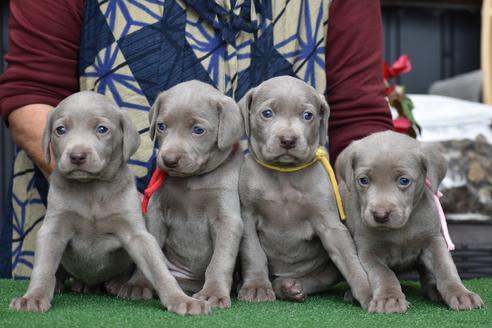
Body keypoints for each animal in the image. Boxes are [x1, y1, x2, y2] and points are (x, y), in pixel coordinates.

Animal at [9, 91, 209, 316]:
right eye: (60, 130)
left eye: (102, 129)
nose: (77, 156)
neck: (92, 190)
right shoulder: (53, 230)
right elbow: (43, 268)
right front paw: (33, 297)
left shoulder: (136, 234)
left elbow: (158, 269)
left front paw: (181, 299)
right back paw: (61, 283)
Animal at [117, 80, 244, 310]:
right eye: (161, 126)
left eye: (198, 130)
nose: (169, 160)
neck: (192, 180)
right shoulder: (156, 213)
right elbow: (150, 255)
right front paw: (138, 284)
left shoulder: (227, 218)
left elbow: (220, 260)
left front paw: (213, 293)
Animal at [236, 75, 370, 308]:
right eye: (267, 113)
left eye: (308, 115)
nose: (288, 140)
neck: (284, 175)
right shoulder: (248, 216)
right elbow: (254, 253)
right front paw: (256, 287)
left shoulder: (330, 225)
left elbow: (350, 260)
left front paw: (368, 292)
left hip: (325, 271)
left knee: (315, 280)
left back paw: (289, 287)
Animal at [336, 131, 482, 312]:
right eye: (363, 180)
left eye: (404, 181)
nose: (380, 215)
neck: (401, 229)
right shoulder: (368, 253)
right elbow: (384, 274)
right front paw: (389, 298)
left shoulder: (434, 240)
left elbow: (446, 268)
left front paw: (461, 294)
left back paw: (434, 289)